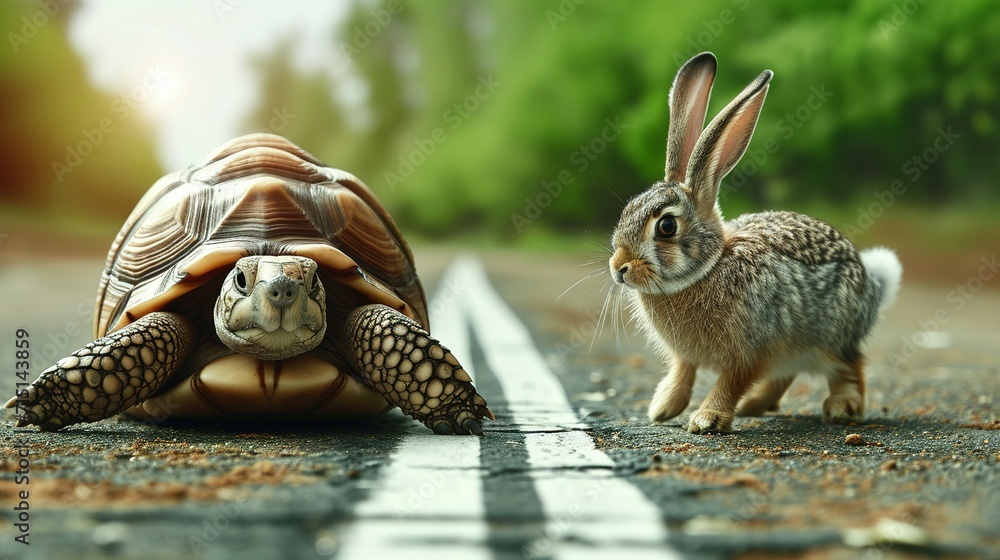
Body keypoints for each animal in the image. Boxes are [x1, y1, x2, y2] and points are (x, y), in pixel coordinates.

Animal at [608, 52, 902, 434]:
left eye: (666, 227)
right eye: (628, 208)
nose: (619, 268)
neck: (709, 267)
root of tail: (872, 284)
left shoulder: (751, 351)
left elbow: (729, 382)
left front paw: (706, 419)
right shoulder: (687, 357)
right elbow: (683, 373)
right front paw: (663, 408)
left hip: (831, 338)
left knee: (849, 367)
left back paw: (841, 407)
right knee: (786, 376)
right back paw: (754, 406)